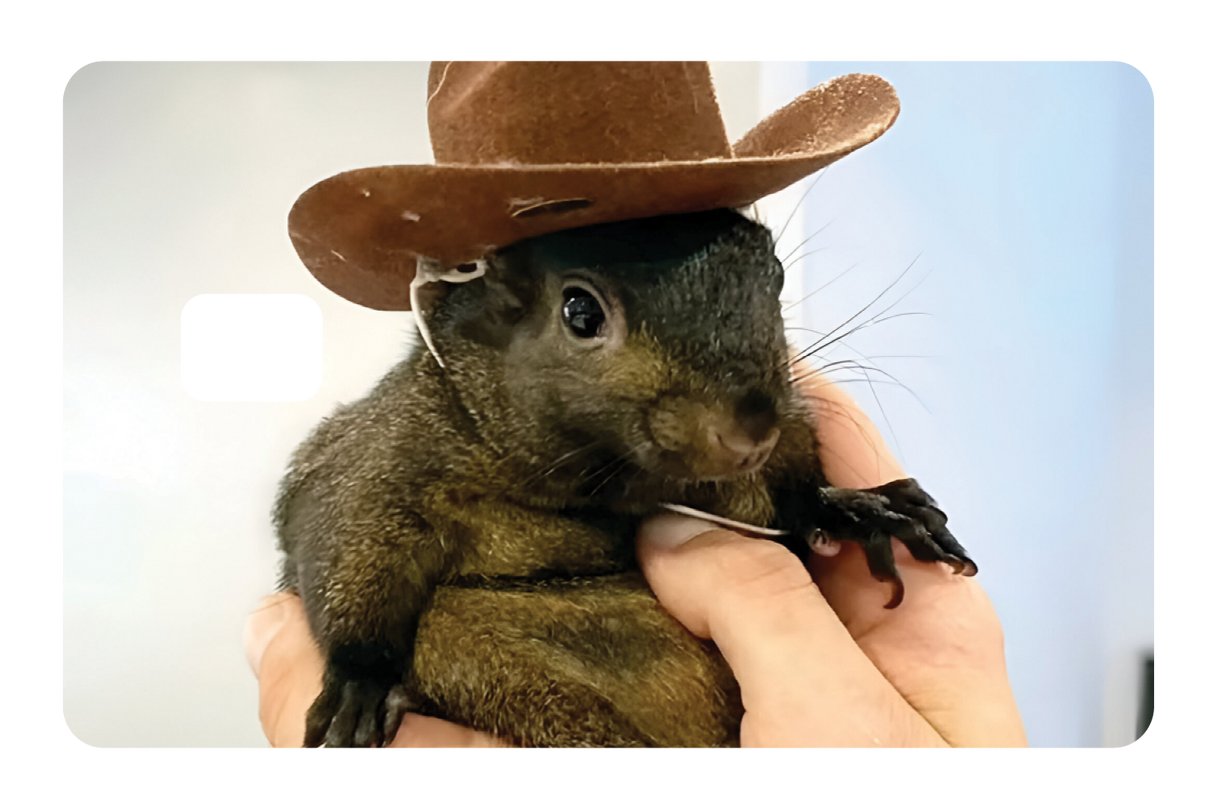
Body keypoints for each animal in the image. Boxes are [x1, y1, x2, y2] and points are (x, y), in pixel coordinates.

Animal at [273, 205, 976, 748]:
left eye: (774, 277)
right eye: (580, 313)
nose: (751, 430)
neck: (607, 482)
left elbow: (792, 497)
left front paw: (854, 508)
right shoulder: (384, 453)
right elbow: (345, 535)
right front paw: (359, 682)